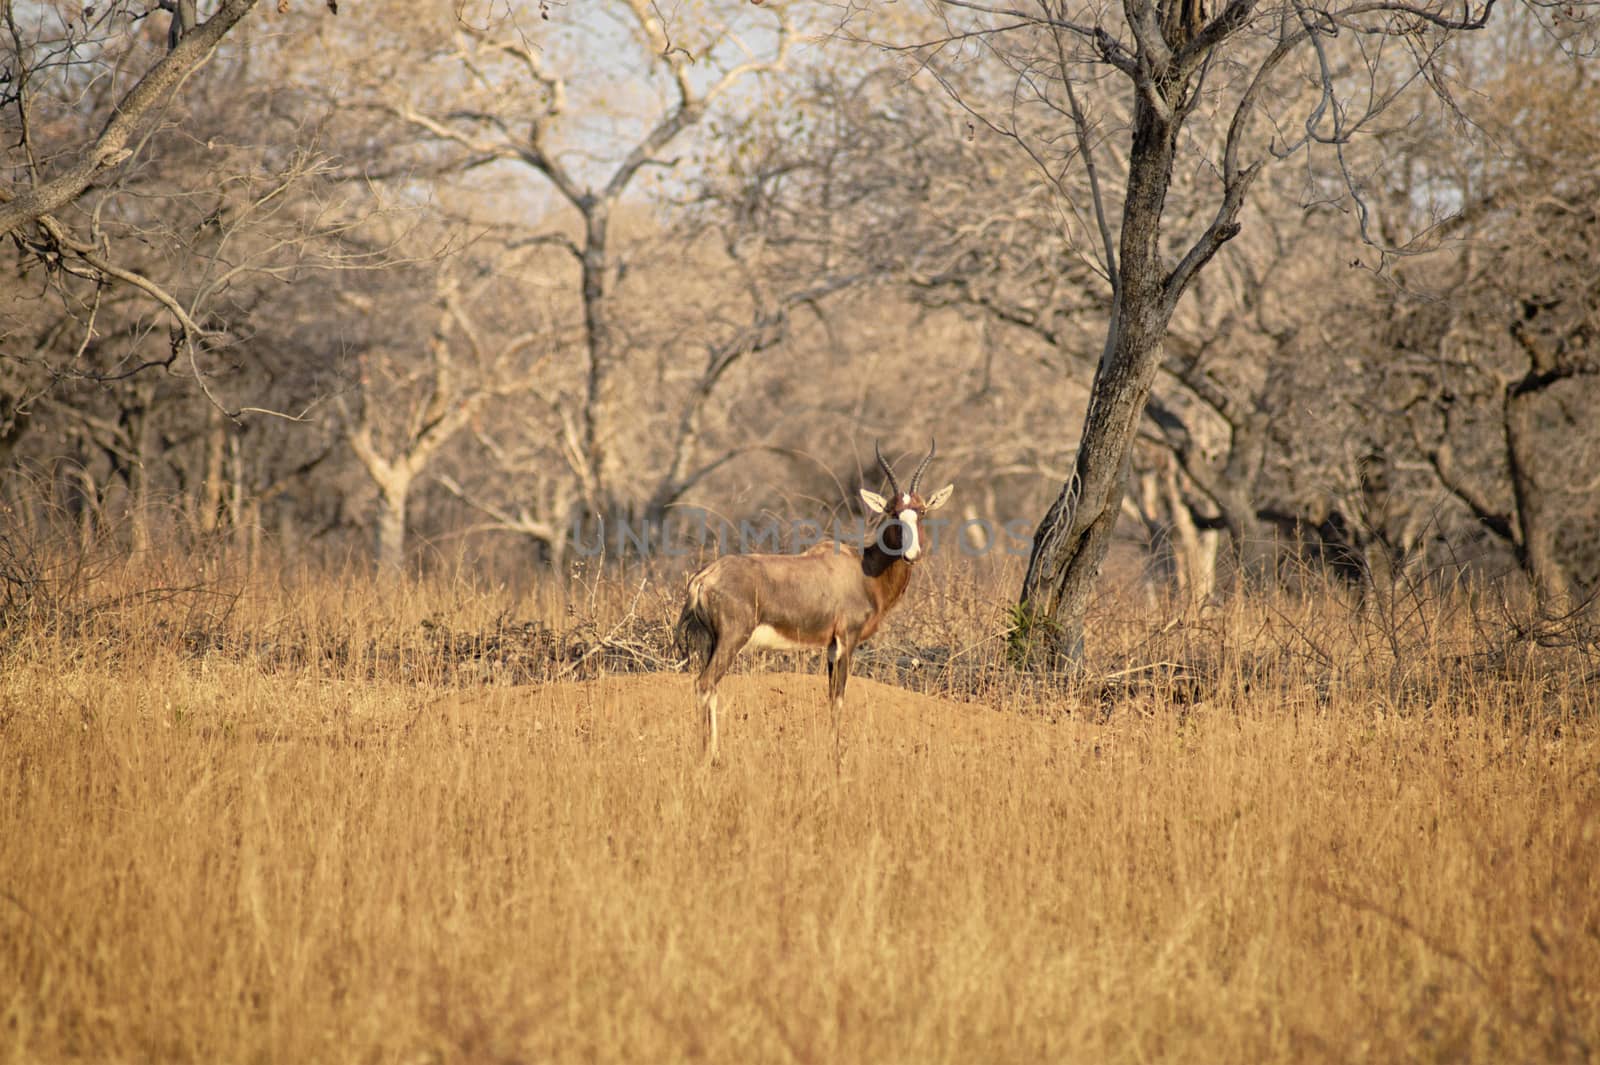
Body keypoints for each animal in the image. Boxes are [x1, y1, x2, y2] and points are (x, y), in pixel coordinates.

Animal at [675, 438, 947, 754]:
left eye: (922, 511)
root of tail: (703, 578)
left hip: (711, 642)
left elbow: (830, 696)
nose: (911, 554)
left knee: (710, 688)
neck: (862, 568)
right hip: (732, 639)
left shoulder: (830, 645)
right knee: (704, 684)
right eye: (892, 511)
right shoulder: (847, 639)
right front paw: (836, 752)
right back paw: (711, 755)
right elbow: (839, 697)